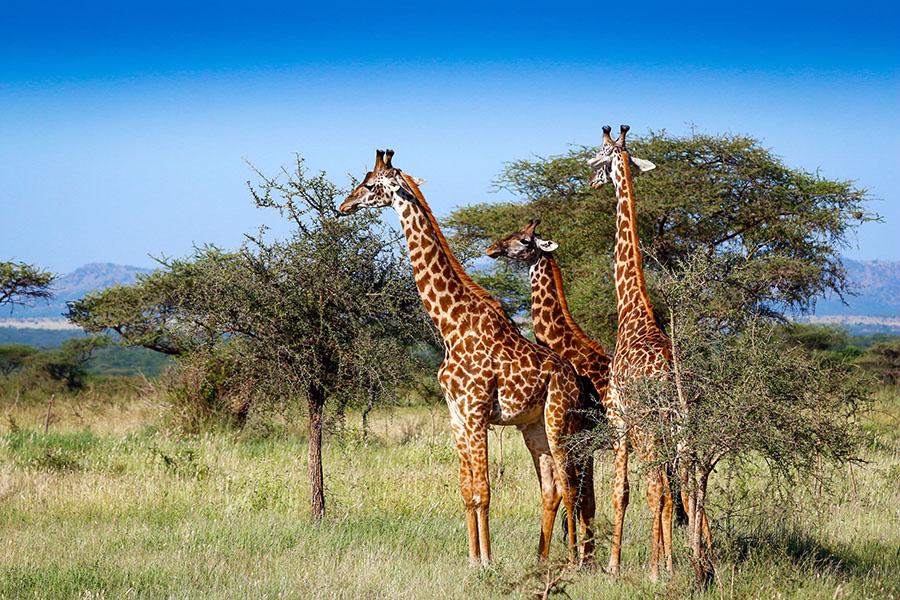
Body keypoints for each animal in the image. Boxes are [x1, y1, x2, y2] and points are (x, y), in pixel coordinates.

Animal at [339, 149, 595, 566]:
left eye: (371, 184)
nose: (344, 205)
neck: (449, 322)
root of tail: (576, 378)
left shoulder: (476, 413)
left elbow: (484, 490)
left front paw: (487, 561)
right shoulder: (456, 416)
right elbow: (466, 491)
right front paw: (472, 558)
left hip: (559, 419)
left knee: (571, 485)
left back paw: (573, 559)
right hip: (533, 427)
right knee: (553, 487)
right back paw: (543, 558)